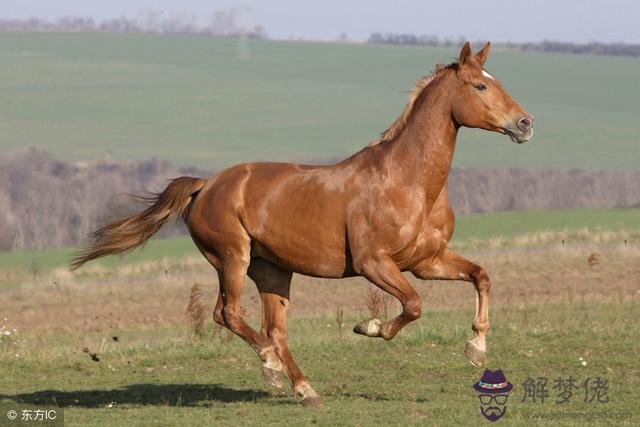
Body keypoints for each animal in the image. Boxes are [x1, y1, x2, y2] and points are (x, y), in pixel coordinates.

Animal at [71, 42, 536, 408]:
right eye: (480, 86)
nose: (525, 124)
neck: (409, 182)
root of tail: (206, 186)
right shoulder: (374, 264)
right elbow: (413, 305)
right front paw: (368, 327)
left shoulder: (428, 261)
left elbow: (481, 276)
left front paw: (476, 350)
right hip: (232, 258)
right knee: (231, 314)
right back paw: (272, 369)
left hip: (273, 271)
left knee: (274, 330)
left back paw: (304, 388)